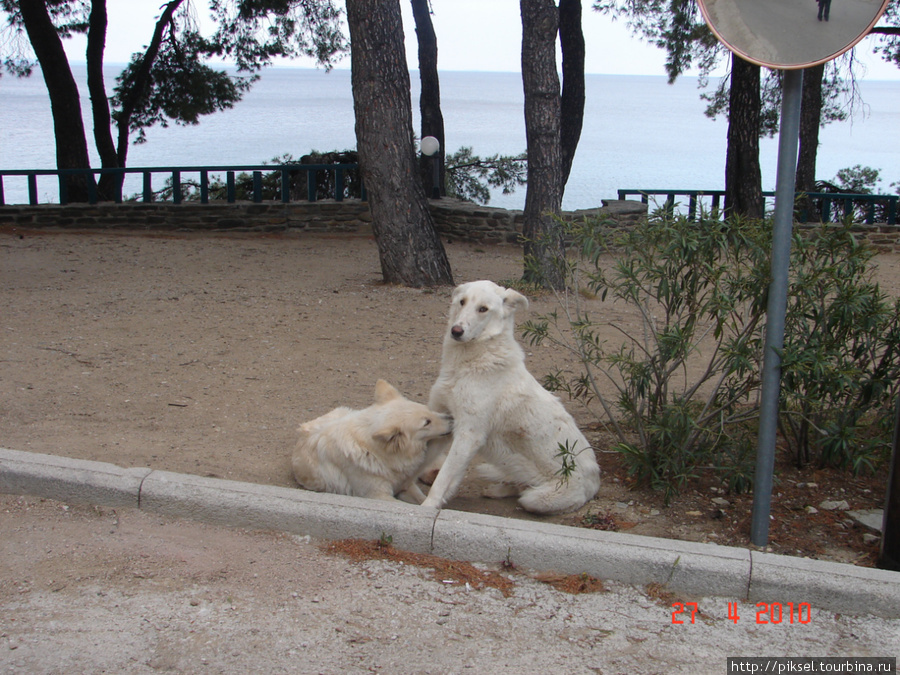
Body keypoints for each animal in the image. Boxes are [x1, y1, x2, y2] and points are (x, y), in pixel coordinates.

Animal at [294, 380, 450, 502]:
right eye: (427, 422)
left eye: (429, 410)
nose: (451, 418)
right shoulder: (379, 496)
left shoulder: (405, 485)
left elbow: (421, 500)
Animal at [420, 280, 600, 516]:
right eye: (462, 302)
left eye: (483, 309)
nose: (456, 331)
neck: (467, 363)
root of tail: (595, 482)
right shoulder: (443, 420)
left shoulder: (468, 434)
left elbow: (443, 477)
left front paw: (427, 506)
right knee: (518, 484)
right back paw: (497, 489)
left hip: (537, 499)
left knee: (525, 494)